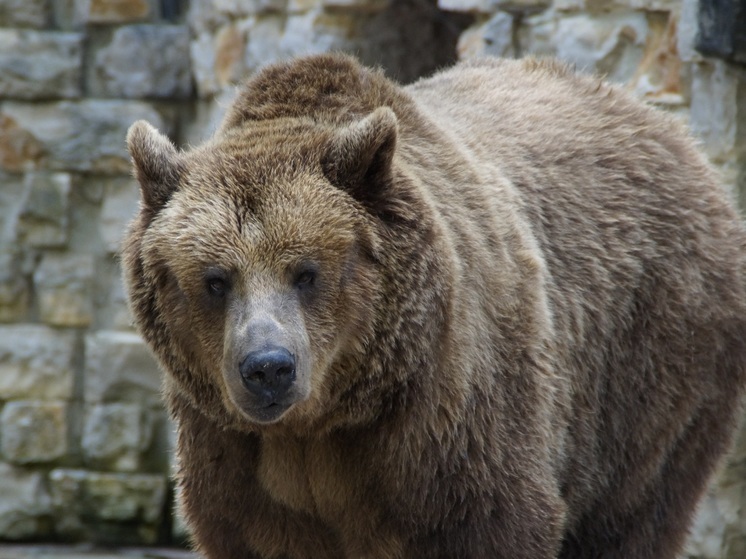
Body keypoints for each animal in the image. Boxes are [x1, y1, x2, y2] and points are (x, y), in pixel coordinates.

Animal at [122, 54, 744, 559]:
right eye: (215, 280)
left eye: (306, 272)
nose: (268, 368)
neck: (327, 421)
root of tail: (673, 134)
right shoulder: (238, 461)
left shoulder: (451, 433)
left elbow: (496, 521)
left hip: (652, 367)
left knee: (634, 509)